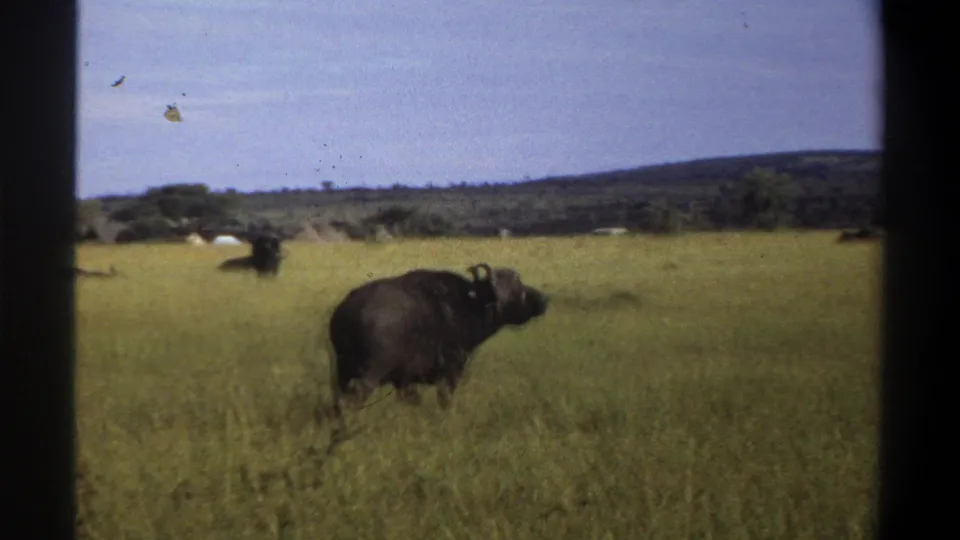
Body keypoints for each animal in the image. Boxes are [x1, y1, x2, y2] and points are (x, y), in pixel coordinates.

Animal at [321, 263, 550, 437]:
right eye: (516, 289)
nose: (543, 300)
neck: (468, 304)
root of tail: (343, 314)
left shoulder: (405, 383)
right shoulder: (451, 372)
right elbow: (445, 400)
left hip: (343, 374)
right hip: (368, 376)